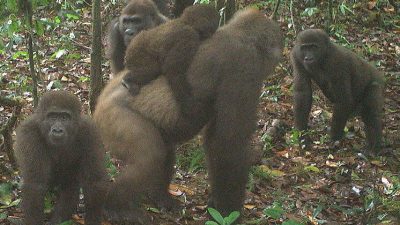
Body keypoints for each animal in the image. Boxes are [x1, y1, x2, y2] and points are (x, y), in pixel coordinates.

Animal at [14, 91, 108, 225]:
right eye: (52, 117)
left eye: (64, 118)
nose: (57, 130)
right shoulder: (28, 133)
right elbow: (35, 184)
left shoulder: (90, 132)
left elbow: (95, 181)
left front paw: (93, 219)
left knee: (70, 187)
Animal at [94, 7, 282, 223]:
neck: (240, 33)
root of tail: (97, 105)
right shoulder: (245, 67)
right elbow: (228, 144)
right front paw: (228, 213)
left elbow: (214, 141)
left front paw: (216, 205)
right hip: (111, 117)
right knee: (149, 156)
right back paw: (115, 207)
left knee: (164, 149)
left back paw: (159, 197)